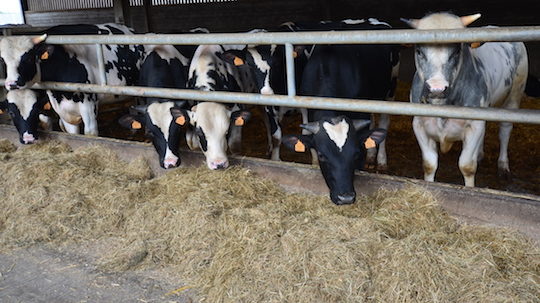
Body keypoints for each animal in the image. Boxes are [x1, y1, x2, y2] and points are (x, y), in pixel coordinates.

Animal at [0, 24, 146, 141]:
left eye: (28, 58)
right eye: (3, 61)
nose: (12, 83)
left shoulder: (89, 104)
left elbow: (90, 133)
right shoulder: (62, 109)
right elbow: (71, 132)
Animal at [280, 37, 394, 204]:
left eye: (356, 153)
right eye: (321, 155)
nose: (345, 197)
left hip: (390, 89)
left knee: (384, 120)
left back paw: (381, 160)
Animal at [402, 13, 528, 186]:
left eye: (456, 51)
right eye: (419, 51)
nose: (437, 88)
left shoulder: (474, 125)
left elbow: (467, 166)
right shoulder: (419, 123)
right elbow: (429, 164)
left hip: (515, 94)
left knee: (505, 130)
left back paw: (503, 166)